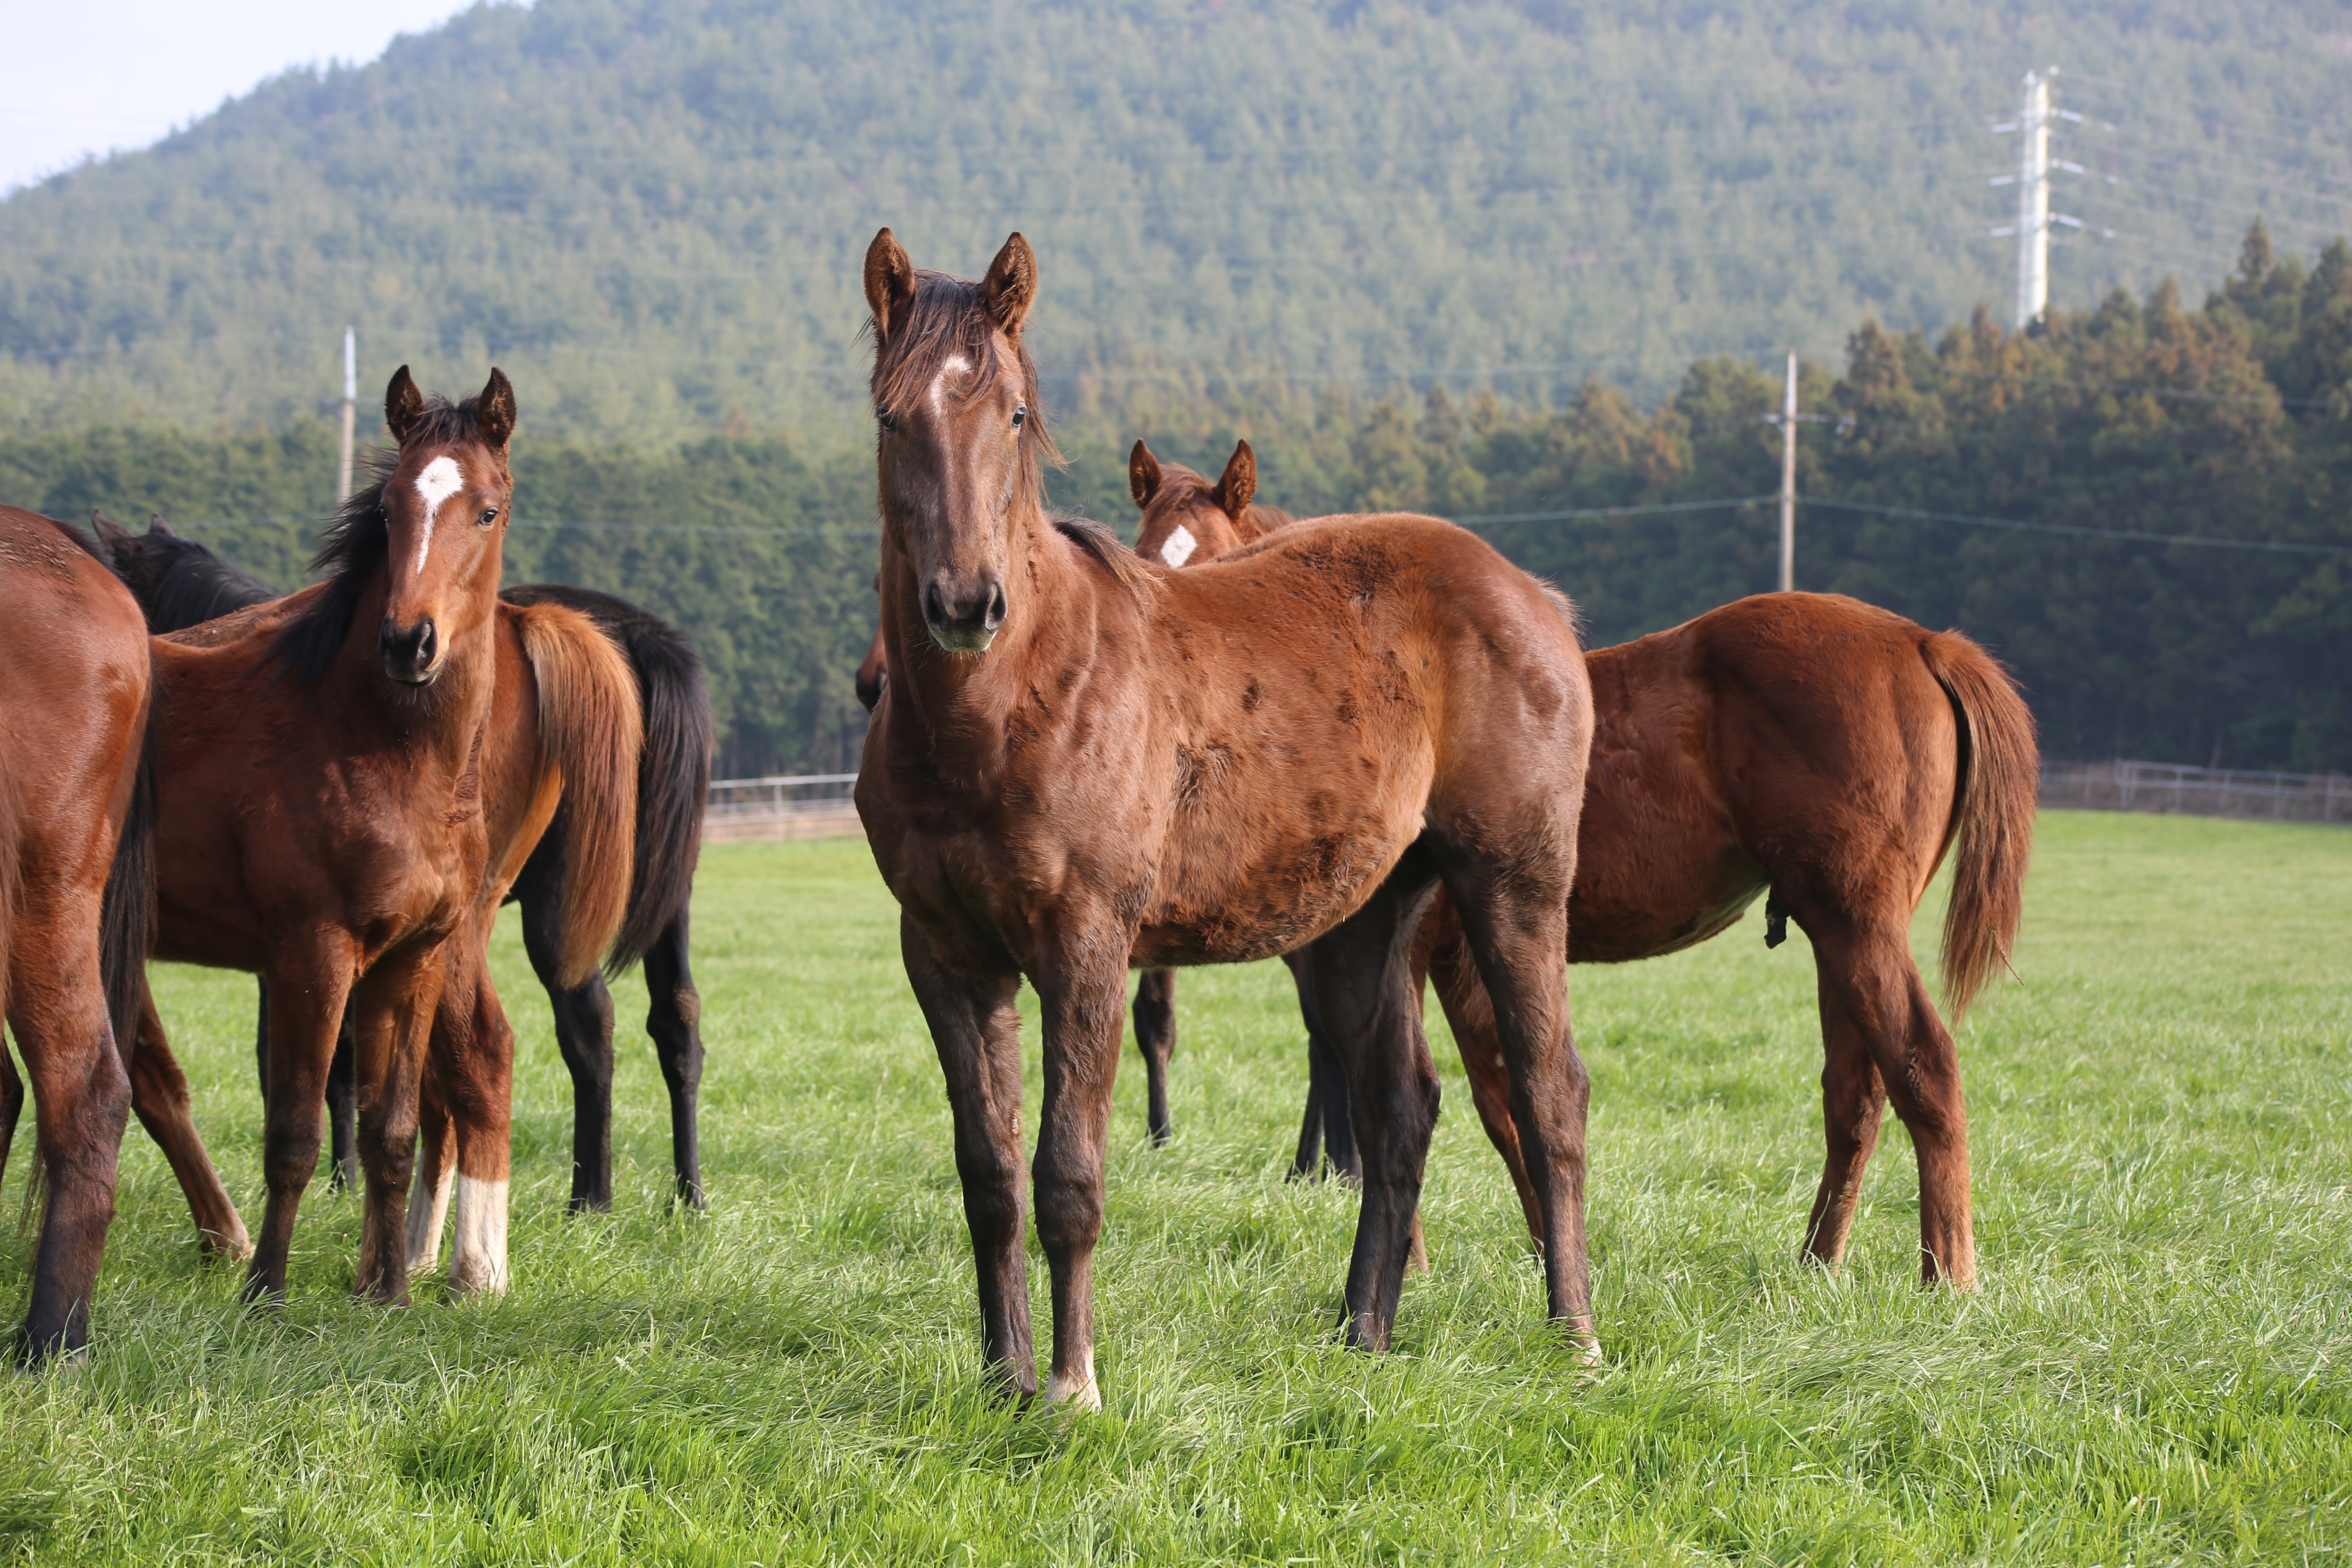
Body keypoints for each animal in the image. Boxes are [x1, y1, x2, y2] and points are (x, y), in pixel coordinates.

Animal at [94, 514, 715, 1213]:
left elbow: (316, 1061)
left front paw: (339, 1179)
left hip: (557, 910)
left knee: (586, 1024)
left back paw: (590, 1195)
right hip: (666, 900)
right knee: (677, 1022)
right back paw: (687, 1195)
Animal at [851, 223, 1599, 1410]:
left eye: (1010, 413)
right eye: (893, 416)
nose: (966, 603)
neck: (1006, 707)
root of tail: (1531, 597)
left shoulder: (1086, 945)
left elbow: (1067, 1174)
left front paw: (1071, 1386)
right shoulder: (946, 955)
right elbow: (989, 1176)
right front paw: (1003, 1378)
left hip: (1513, 889)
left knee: (1546, 1093)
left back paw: (1573, 1335)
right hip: (1362, 925)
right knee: (1399, 1111)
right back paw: (1362, 1331)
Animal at [1124, 442, 2041, 1288]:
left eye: (1208, 556)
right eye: (1141, 547)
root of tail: (1922, 642)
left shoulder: (1422, 951)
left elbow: (1444, 1092)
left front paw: (1421, 1262)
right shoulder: (1448, 957)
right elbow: (1495, 1101)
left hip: (1854, 923)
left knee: (1925, 1067)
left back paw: (1949, 1277)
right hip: (1838, 933)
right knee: (1857, 1090)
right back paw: (1819, 1262)